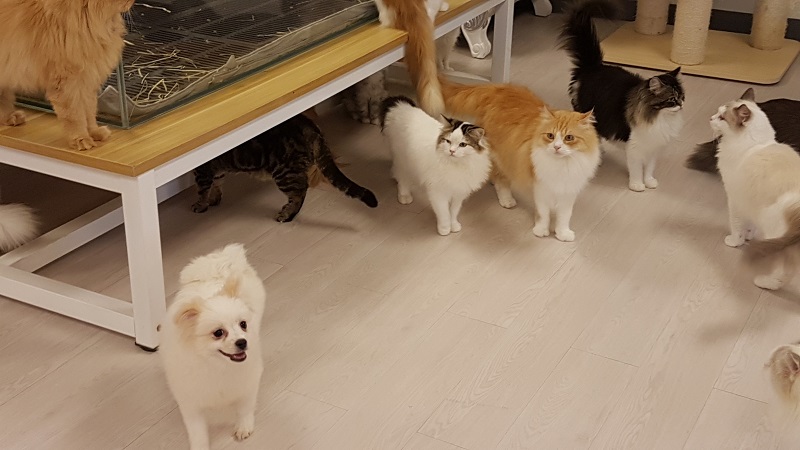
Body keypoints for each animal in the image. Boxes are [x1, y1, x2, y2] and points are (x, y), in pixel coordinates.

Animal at [0, 0, 133, 151]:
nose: (133, 1)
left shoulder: (87, 81)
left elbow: (89, 113)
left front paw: (94, 133)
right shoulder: (67, 83)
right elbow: (75, 116)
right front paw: (81, 139)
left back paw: (11, 117)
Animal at [159, 244, 266, 448]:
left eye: (243, 324)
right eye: (218, 333)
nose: (243, 342)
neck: (218, 365)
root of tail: (216, 264)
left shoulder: (248, 382)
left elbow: (245, 407)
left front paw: (243, 427)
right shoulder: (190, 400)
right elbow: (197, 429)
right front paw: (200, 445)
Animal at [380, 95, 490, 236]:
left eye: (463, 144)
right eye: (448, 141)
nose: (451, 151)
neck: (458, 165)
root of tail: (400, 105)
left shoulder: (458, 192)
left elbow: (454, 212)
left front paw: (454, 226)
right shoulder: (438, 192)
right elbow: (444, 213)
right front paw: (444, 229)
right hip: (403, 160)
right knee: (401, 177)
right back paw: (404, 196)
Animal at [560, 0, 684, 192]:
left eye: (681, 96)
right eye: (671, 100)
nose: (680, 104)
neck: (659, 119)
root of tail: (593, 67)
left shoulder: (653, 147)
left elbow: (649, 168)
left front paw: (650, 182)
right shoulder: (634, 146)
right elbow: (636, 169)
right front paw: (637, 185)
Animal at [716, 89, 800, 290]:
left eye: (722, 117)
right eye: (717, 114)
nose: (711, 117)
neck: (754, 145)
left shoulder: (735, 200)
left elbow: (737, 227)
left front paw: (736, 242)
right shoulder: (751, 202)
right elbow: (749, 226)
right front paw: (749, 236)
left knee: (783, 273)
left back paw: (763, 282)